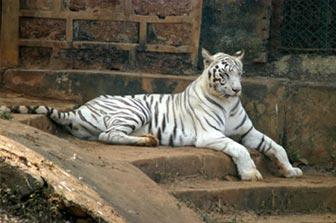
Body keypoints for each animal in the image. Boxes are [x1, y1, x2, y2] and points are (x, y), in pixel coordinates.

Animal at [1, 49, 302, 181]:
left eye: (240, 73)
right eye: (224, 75)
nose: (237, 89)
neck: (228, 104)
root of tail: (79, 109)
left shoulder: (248, 131)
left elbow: (276, 146)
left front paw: (290, 170)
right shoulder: (210, 135)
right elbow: (239, 149)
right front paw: (251, 174)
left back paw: (147, 138)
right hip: (134, 109)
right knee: (108, 135)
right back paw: (148, 140)